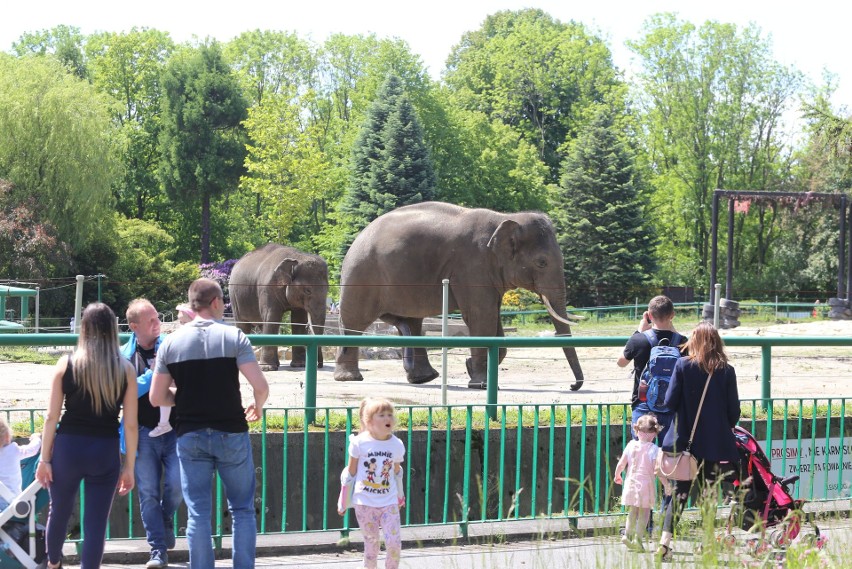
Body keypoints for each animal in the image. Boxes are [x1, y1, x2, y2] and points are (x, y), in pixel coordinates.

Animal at [332, 203, 584, 390]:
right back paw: (349, 379)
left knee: (411, 322)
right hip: (362, 275)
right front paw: (480, 383)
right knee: (355, 321)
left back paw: (423, 378)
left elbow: (493, 318)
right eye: (542, 262)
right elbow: (480, 316)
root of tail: (358, 237)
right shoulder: (473, 266)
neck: (505, 218)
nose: (572, 386)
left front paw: (472, 368)